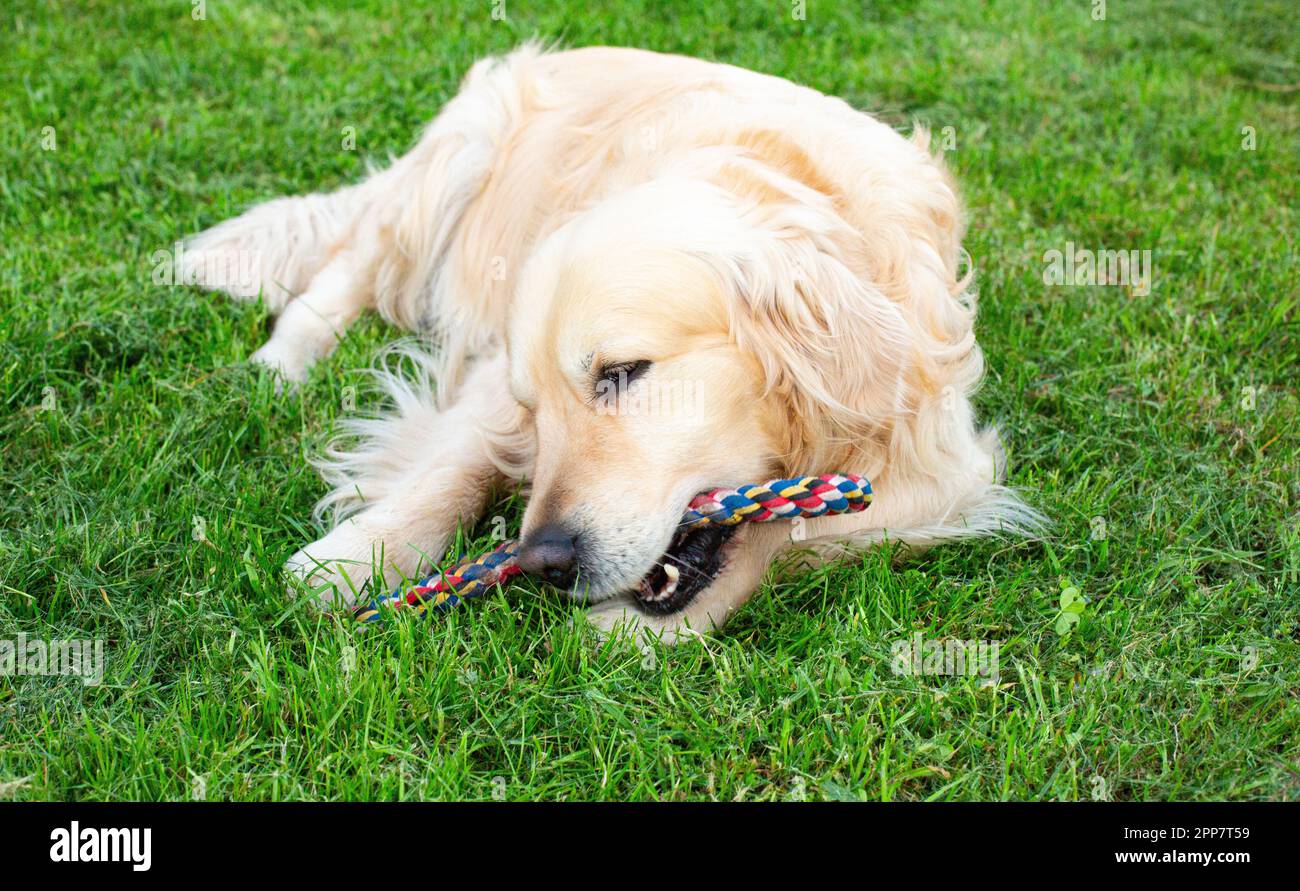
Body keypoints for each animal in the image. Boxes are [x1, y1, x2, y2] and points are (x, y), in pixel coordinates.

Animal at [180, 43, 1034, 639]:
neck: (780, 186)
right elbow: (457, 464)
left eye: (622, 371)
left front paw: (646, 627)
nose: (544, 561)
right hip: (461, 154)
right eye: (533, 408)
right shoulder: (493, 371)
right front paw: (359, 554)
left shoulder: (941, 454)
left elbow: (788, 528)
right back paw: (281, 363)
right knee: (348, 265)